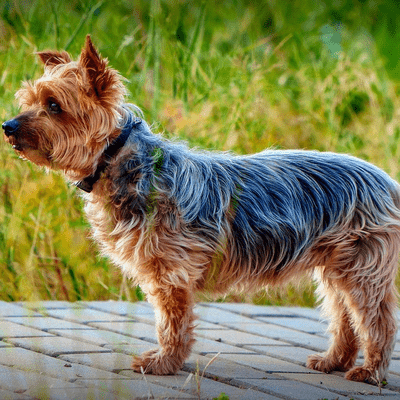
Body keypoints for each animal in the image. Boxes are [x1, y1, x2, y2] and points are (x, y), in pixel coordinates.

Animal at [3, 36, 400, 382]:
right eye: (29, 101)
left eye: (54, 105)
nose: (7, 126)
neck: (117, 159)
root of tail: (387, 181)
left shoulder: (170, 271)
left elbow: (172, 323)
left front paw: (163, 363)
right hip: (336, 267)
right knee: (344, 315)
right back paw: (334, 361)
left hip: (363, 267)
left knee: (377, 320)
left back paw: (369, 372)